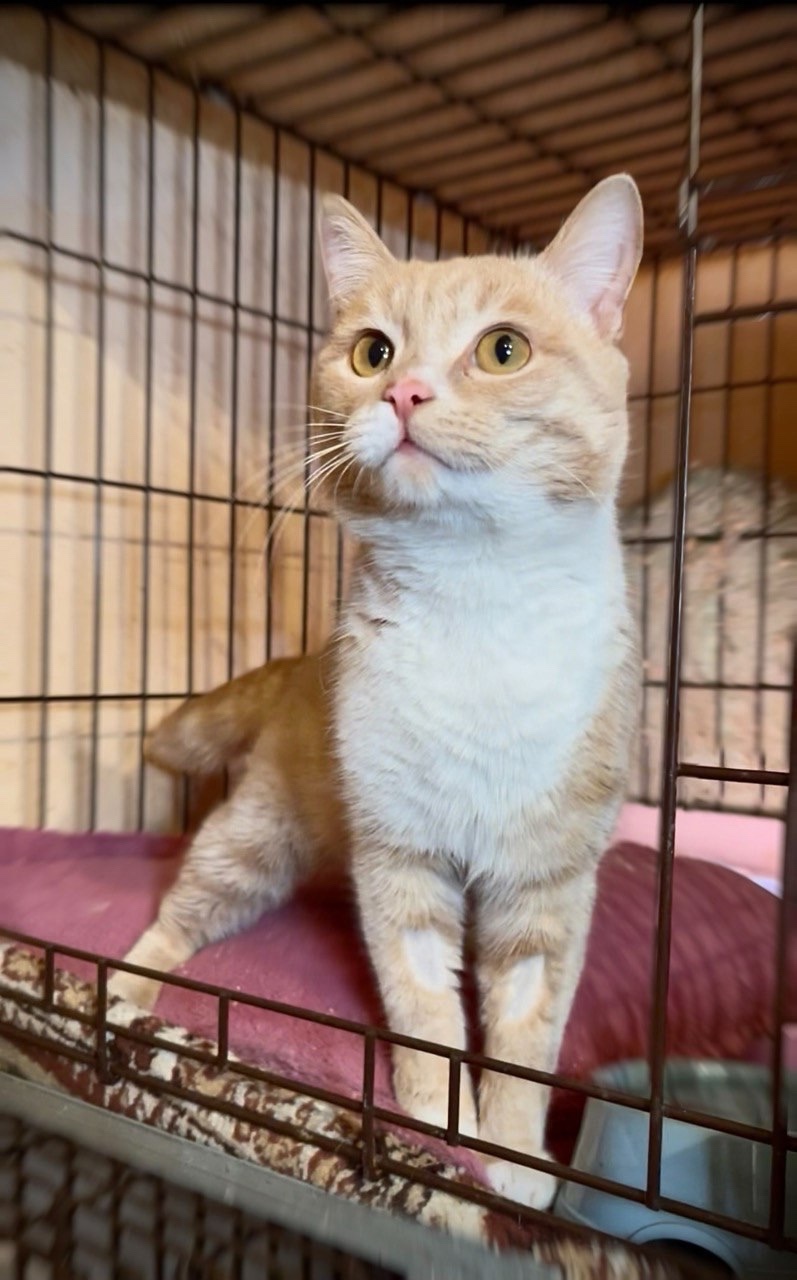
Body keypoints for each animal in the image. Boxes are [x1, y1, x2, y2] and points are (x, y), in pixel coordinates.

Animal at [109, 174, 644, 1210]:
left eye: (503, 348)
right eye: (372, 352)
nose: (403, 391)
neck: (476, 604)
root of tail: (296, 669)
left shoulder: (547, 877)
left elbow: (525, 1031)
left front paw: (510, 1157)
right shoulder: (400, 857)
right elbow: (424, 1006)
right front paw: (436, 1127)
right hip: (253, 835)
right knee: (180, 913)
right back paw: (122, 987)